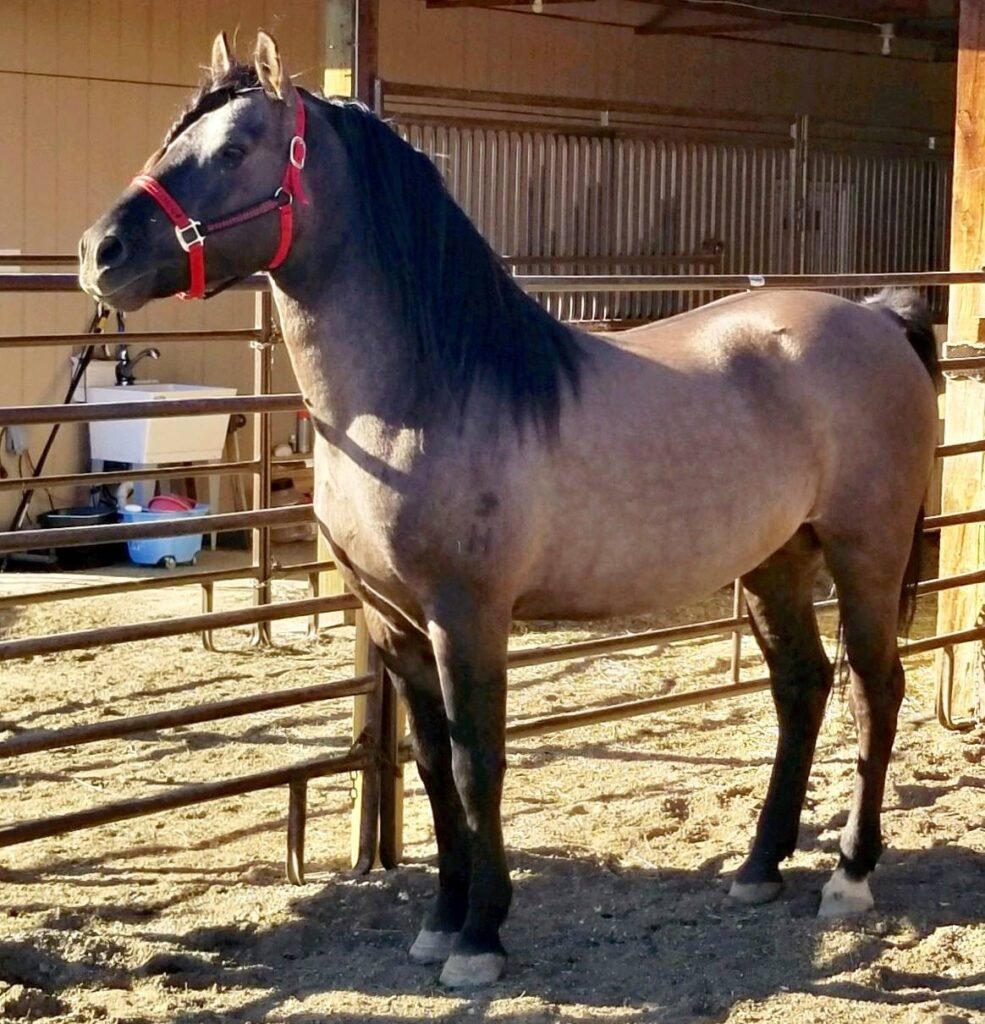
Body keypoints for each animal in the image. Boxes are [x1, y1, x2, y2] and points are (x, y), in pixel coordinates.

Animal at [79, 31, 941, 989]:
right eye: (173, 136)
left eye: (233, 149)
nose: (100, 252)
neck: (422, 396)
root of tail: (874, 318)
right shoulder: (392, 623)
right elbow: (427, 765)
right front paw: (437, 922)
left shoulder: (467, 614)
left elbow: (474, 761)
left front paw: (480, 937)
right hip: (774, 561)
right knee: (802, 687)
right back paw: (758, 868)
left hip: (864, 553)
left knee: (874, 690)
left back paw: (849, 875)